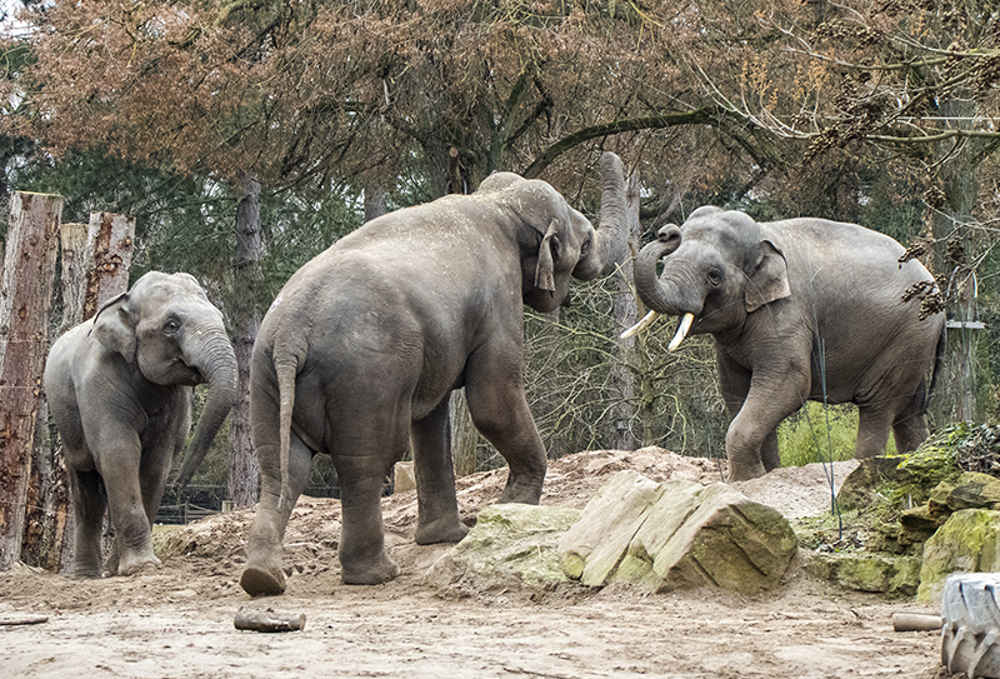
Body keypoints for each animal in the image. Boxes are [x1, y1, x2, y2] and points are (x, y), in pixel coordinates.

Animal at [44, 272, 238, 580]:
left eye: (219, 316)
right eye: (172, 325)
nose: (179, 486)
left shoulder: (174, 400)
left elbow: (155, 463)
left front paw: (132, 568)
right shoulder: (99, 383)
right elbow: (120, 453)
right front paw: (141, 567)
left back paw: (108, 570)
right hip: (67, 425)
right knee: (86, 490)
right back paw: (86, 575)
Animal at [242, 151, 628, 592]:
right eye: (585, 242)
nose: (607, 154)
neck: (498, 204)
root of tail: (292, 334)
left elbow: (431, 418)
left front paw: (450, 536)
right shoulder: (500, 299)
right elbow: (493, 402)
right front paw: (513, 508)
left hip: (265, 377)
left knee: (282, 466)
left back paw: (262, 578)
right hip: (365, 376)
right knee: (364, 462)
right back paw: (376, 574)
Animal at [628, 207, 948, 484]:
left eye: (714, 276)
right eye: (667, 262)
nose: (667, 233)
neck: (763, 234)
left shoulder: (788, 312)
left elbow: (788, 384)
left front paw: (746, 479)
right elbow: (736, 391)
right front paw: (766, 474)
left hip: (907, 336)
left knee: (878, 405)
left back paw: (865, 466)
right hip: (914, 344)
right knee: (910, 411)